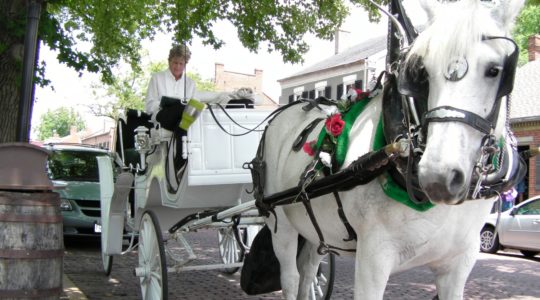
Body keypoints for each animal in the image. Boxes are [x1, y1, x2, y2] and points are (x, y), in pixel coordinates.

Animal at [260, 1, 524, 298]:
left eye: (495, 70)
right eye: (423, 73)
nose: (439, 176)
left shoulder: (460, 263)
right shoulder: (373, 258)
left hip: (316, 232)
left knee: (307, 271)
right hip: (281, 224)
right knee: (291, 277)